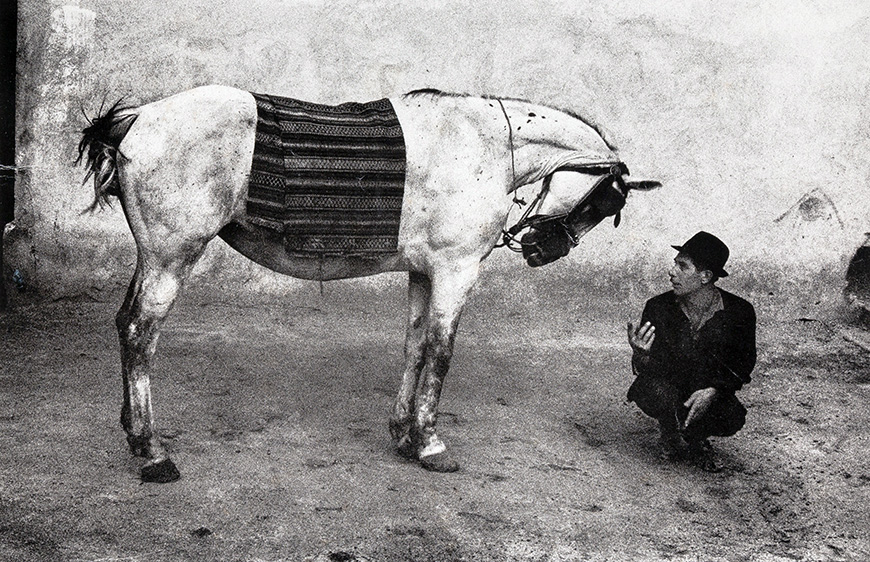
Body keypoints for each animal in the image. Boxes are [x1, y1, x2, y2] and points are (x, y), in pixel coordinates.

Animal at [78, 85, 659, 482]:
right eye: (604, 202)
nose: (543, 249)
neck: (484, 144)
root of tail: (139, 118)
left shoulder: (425, 271)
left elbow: (415, 346)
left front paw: (405, 435)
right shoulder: (455, 271)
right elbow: (441, 352)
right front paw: (429, 443)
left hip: (152, 256)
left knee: (125, 324)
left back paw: (134, 433)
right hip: (171, 257)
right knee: (141, 334)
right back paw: (153, 451)